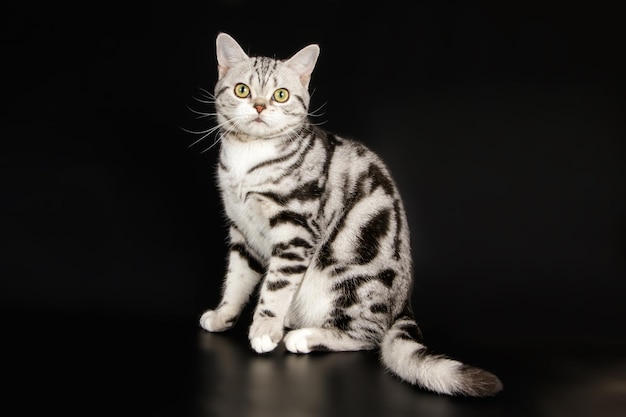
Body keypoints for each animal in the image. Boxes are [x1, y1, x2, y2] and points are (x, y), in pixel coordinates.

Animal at [197, 32, 500, 396]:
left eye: (280, 95)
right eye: (242, 90)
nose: (259, 106)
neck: (248, 158)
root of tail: (403, 304)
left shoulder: (296, 229)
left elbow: (277, 285)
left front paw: (264, 330)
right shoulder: (242, 230)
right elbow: (237, 280)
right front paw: (223, 315)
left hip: (346, 278)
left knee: (369, 336)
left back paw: (302, 336)